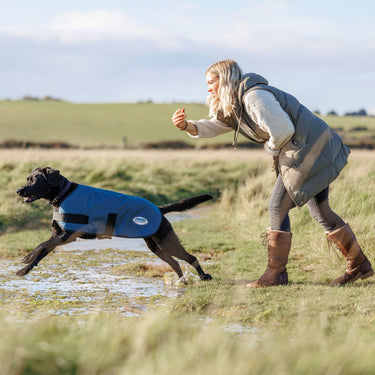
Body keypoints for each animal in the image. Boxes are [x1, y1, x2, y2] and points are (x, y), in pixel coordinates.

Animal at [16, 167, 213, 282]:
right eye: (27, 179)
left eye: (35, 180)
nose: (18, 190)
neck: (63, 194)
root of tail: (159, 209)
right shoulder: (58, 235)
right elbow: (42, 252)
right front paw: (24, 269)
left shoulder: (67, 235)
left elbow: (42, 245)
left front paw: (26, 257)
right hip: (155, 246)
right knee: (176, 264)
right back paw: (182, 283)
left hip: (166, 242)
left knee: (190, 258)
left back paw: (204, 276)